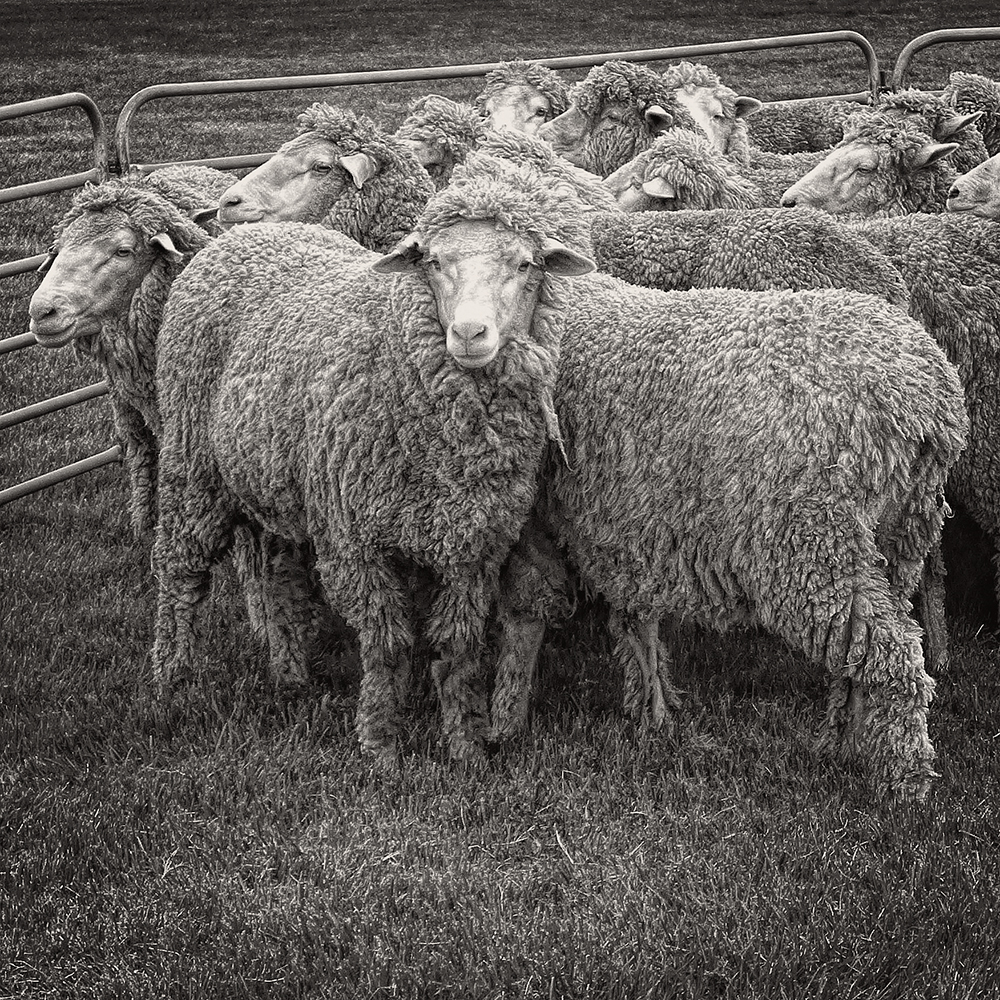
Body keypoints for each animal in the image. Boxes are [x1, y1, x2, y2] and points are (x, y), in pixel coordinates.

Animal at [150, 154, 596, 763]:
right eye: (433, 261)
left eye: (526, 264)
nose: (470, 333)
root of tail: (242, 236)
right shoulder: (354, 538)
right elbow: (386, 644)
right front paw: (380, 742)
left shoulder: (473, 543)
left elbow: (459, 646)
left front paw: (465, 742)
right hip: (191, 463)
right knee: (179, 570)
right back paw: (171, 681)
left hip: (271, 472)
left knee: (275, 572)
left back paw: (289, 673)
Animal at [483, 279, 967, 801]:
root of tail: (929, 392)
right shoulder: (633, 521)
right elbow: (636, 620)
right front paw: (653, 710)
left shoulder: (534, 510)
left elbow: (527, 609)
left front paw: (504, 724)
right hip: (901, 533)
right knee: (867, 648)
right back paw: (848, 743)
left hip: (811, 539)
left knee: (891, 649)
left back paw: (906, 779)